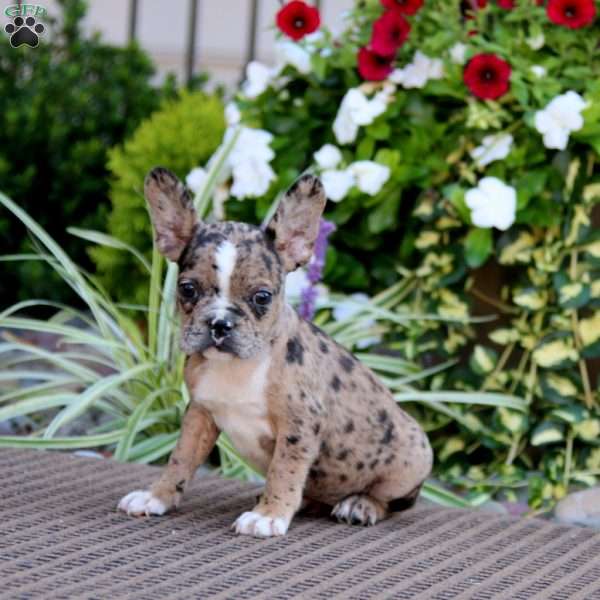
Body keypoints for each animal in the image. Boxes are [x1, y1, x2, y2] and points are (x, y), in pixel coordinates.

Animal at [118, 166, 432, 536]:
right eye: (187, 289)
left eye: (262, 297)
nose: (220, 324)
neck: (238, 366)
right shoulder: (199, 414)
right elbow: (180, 458)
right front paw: (157, 496)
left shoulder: (300, 423)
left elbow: (284, 470)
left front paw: (269, 515)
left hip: (414, 454)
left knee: (394, 500)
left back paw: (360, 504)